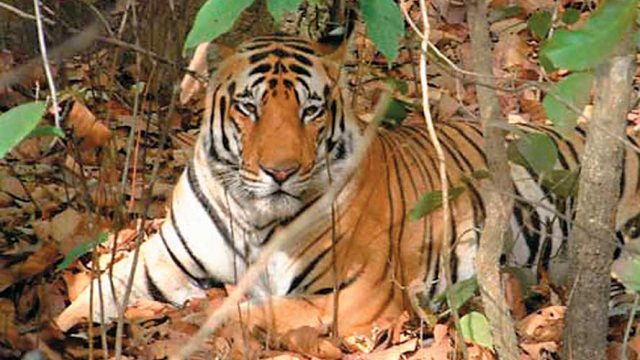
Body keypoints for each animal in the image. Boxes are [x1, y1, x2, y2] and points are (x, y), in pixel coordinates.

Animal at [55, 33, 640, 338]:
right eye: (249, 106)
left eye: (311, 110)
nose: (280, 171)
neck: (252, 215)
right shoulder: (163, 259)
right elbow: (97, 289)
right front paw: (59, 329)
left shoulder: (353, 295)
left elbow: (243, 311)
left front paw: (201, 320)